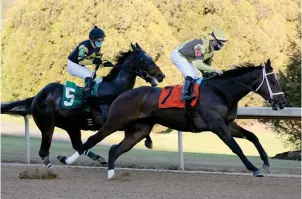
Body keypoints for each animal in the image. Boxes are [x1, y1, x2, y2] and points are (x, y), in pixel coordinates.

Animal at [0, 43, 165, 168]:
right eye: (143, 59)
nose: (161, 75)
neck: (113, 90)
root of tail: (37, 96)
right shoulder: (110, 121)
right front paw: (148, 141)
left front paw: (149, 141)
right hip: (47, 125)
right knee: (45, 151)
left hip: (71, 125)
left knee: (78, 145)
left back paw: (97, 159)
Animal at [60, 59, 286, 179]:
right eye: (274, 81)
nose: (282, 102)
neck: (220, 91)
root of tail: (123, 93)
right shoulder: (217, 125)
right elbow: (236, 147)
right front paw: (255, 169)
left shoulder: (229, 124)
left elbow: (253, 136)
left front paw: (266, 162)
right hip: (114, 121)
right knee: (92, 140)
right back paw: (67, 160)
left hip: (139, 130)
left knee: (115, 149)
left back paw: (111, 173)